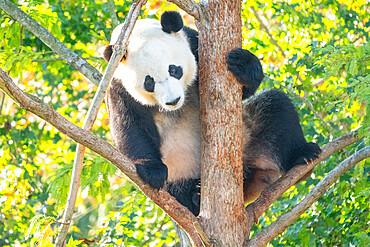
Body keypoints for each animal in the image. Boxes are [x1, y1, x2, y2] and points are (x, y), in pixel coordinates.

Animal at [102, 12, 320, 216]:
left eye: (174, 70)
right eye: (149, 82)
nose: (173, 101)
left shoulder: (196, 46)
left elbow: (242, 91)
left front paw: (241, 65)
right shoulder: (117, 85)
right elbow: (130, 126)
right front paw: (152, 170)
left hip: (249, 137)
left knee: (276, 108)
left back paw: (302, 156)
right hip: (180, 170)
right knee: (180, 191)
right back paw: (196, 195)